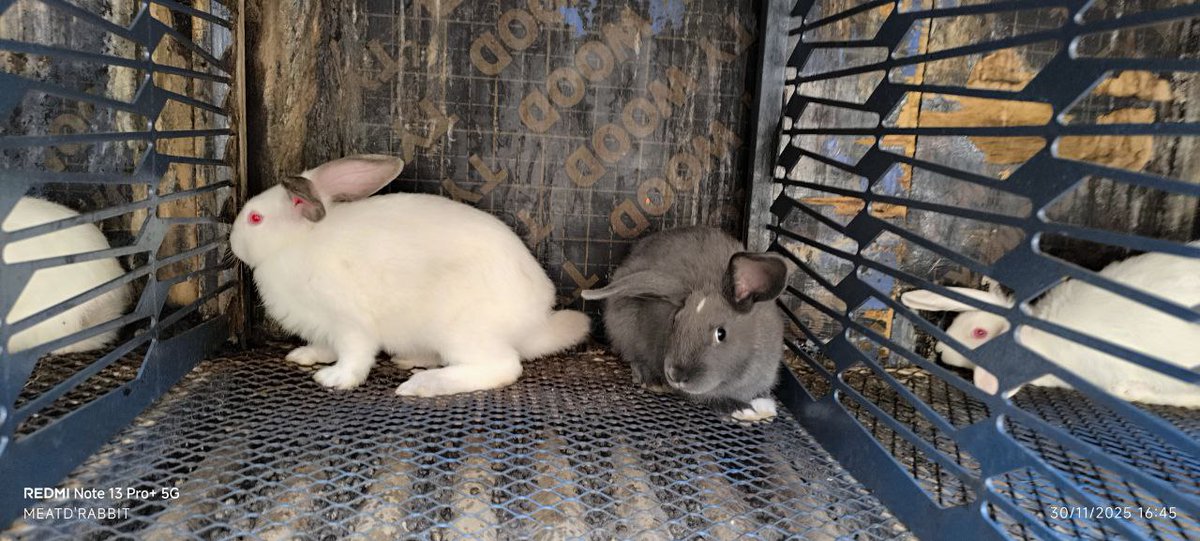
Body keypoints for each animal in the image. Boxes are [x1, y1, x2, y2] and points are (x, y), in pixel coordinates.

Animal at [229, 154, 590, 397]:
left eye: (256, 218)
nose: (232, 243)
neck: (296, 243)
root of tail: (534, 323)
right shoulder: (325, 327)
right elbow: (325, 346)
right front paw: (304, 356)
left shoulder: (350, 323)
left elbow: (355, 354)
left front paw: (335, 379)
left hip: (460, 331)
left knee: (502, 367)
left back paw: (422, 384)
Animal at [581, 226, 790, 421]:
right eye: (675, 320)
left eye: (721, 333)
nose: (675, 375)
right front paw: (738, 408)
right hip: (625, 330)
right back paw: (651, 379)